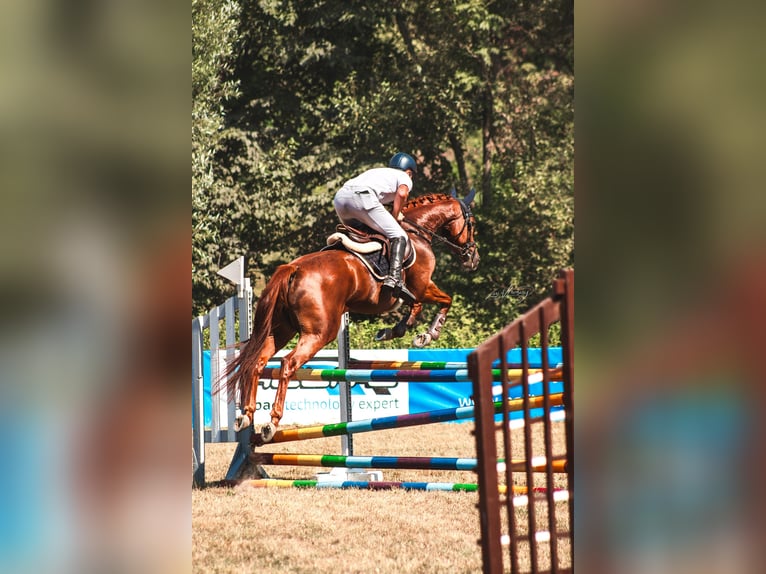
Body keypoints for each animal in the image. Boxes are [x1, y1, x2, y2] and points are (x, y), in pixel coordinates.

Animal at [219, 190, 480, 440]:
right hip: (320, 333)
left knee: (257, 362)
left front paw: (394, 331)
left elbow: (415, 308)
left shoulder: (413, 293)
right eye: (472, 224)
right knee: (288, 363)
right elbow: (445, 300)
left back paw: (246, 415)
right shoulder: (422, 287)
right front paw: (429, 334)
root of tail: (293, 268)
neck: (417, 232)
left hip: (281, 329)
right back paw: (271, 423)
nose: (473, 259)